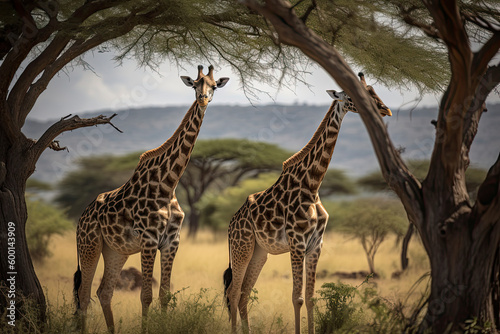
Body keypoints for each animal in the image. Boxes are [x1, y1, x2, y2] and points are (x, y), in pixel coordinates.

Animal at [73, 64, 229, 332]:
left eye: (214, 86)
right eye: (195, 84)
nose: (202, 98)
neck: (168, 183)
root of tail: (80, 219)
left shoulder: (172, 241)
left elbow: (164, 295)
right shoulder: (148, 239)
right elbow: (145, 296)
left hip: (115, 251)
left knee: (104, 292)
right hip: (90, 245)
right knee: (84, 295)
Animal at [223, 73, 390, 334]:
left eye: (373, 91)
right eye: (353, 95)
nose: (384, 109)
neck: (313, 185)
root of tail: (231, 224)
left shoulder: (316, 244)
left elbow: (310, 298)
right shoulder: (297, 242)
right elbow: (297, 297)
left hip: (259, 253)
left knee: (243, 294)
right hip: (242, 247)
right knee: (232, 291)